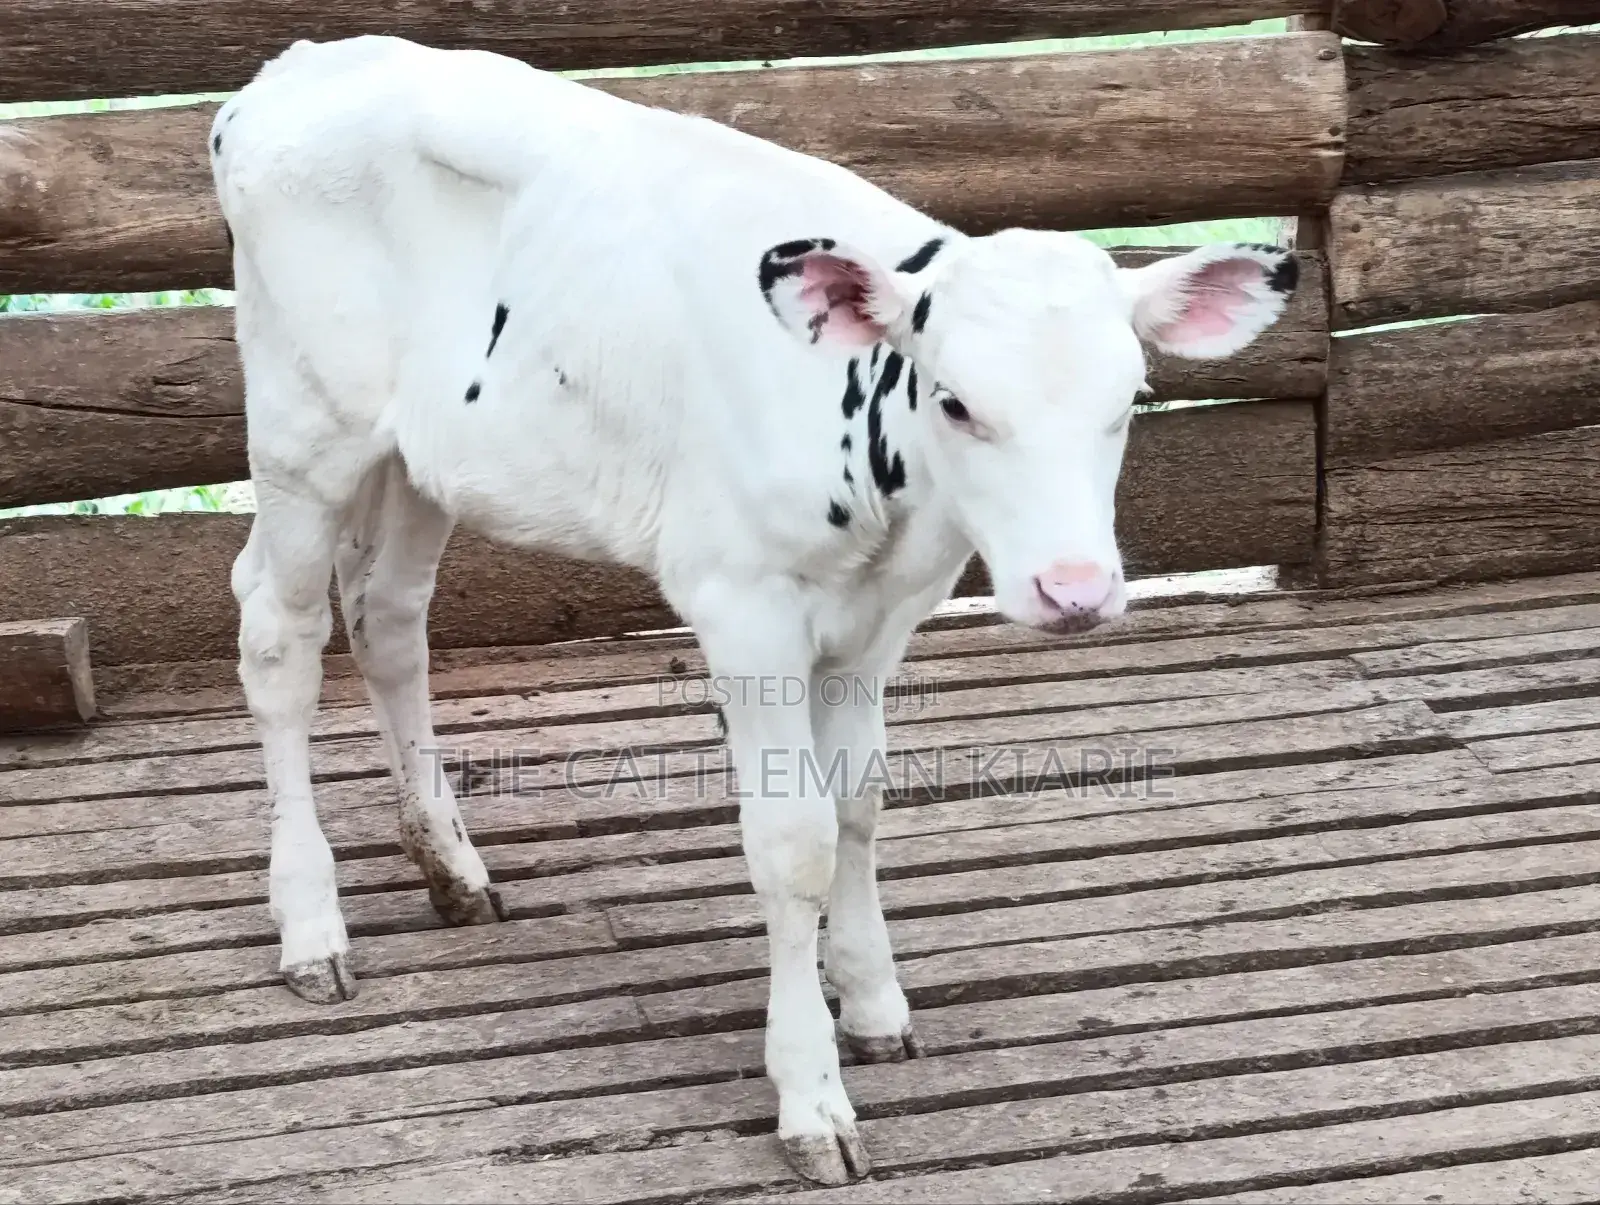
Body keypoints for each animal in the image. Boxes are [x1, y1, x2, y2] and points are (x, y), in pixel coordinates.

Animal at [210, 34, 1299, 1185]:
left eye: (1128, 400)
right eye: (956, 400)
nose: (1075, 588)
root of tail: (304, 63)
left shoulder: (882, 620)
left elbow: (860, 798)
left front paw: (872, 999)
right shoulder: (746, 609)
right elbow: (793, 840)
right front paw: (812, 1094)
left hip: (424, 454)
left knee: (388, 615)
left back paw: (453, 867)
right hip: (301, 430)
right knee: (278, 636)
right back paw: (311, 925)